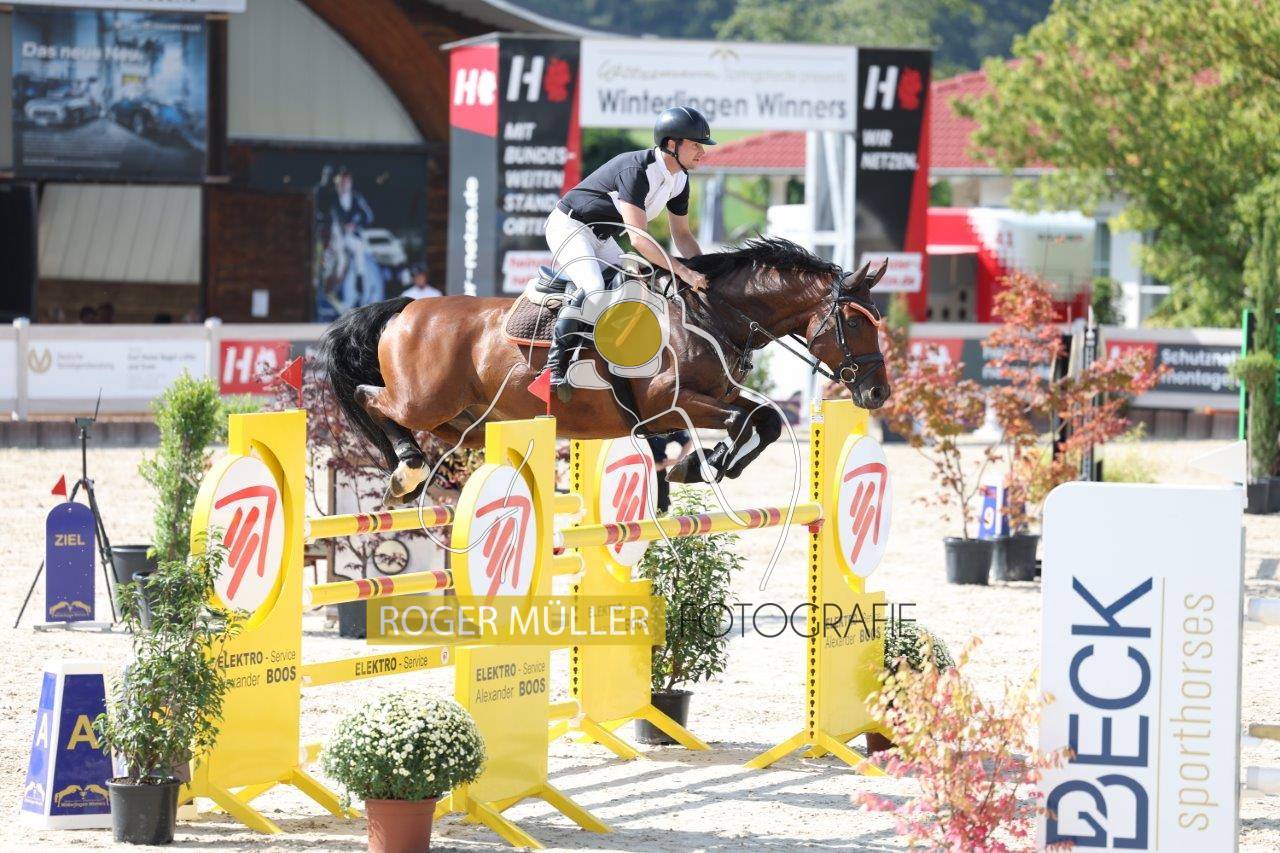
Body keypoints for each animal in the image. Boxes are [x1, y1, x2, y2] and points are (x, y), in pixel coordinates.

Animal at [318, 237, 890, 503]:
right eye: (852, 323)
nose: (878, 393)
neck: (708, 315)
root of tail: (406, 308)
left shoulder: (720, 394)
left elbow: (765, 420)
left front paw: (702, 465)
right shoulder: (665, 405)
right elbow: (738, 421)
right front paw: (701, 464)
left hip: (465, 419)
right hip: (424, 400)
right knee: (372, 399)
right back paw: (406, 469)